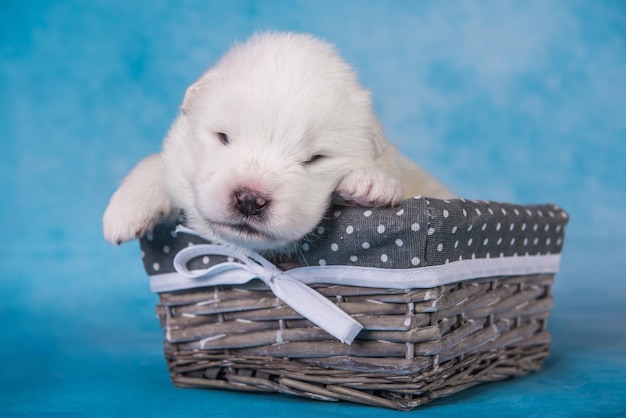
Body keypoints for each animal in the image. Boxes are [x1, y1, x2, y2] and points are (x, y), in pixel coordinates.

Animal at [103, 31, 454, 251]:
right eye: (223, 137)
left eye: (314, 159)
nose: (249, 199)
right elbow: (155, 164)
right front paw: (123, 213)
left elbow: (387, 173)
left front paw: (371, 183)